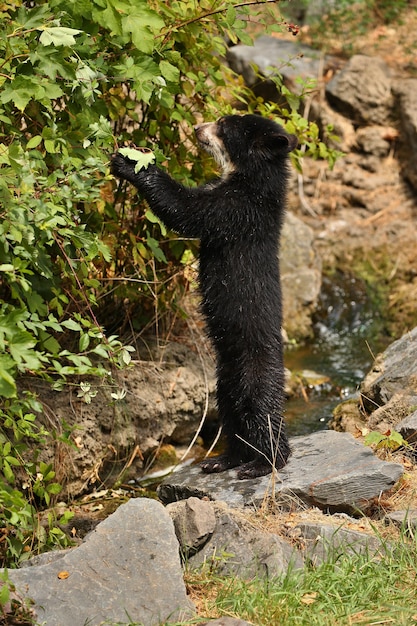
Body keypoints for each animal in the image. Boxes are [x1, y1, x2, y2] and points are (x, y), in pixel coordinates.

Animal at [111, 114, 296, 478]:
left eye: (223, 126)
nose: (196, 128)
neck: (251, 179)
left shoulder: (237, 210)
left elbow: (187, 211)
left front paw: (131, 162)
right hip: (224, 380)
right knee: (232, 417)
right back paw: (221, 460)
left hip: (254, 372)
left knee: (263, 413)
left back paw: (262, 464)